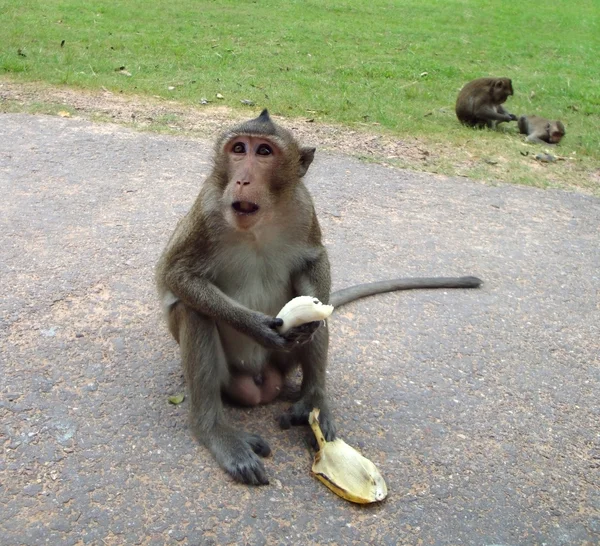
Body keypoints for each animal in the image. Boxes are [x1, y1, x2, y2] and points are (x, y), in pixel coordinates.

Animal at [156, 108, 482, 482]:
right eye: (238, 149)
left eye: (263, 152)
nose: (241, 181)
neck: (258, 224)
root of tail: (261, 386)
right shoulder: (208, 206)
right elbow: (176, 275)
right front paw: (257, 326)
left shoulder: (303, 206)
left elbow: (313, 263)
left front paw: (309, 320)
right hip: (230, 378)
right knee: (194, 311)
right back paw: (215, 432)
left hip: (283, 365)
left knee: (317, 317)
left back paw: (312, 401)